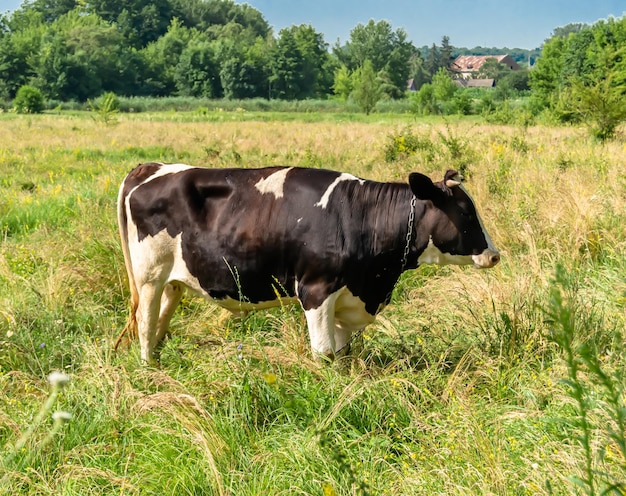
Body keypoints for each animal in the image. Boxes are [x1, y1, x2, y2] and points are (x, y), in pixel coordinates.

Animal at [116, 163, 498, 360]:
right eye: (466, 213)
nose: (493, 254)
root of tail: (151, 167)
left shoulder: (348, 299)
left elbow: (343, 354)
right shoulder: (316, 290)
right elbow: (324, 352)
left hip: (173, 282)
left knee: (160, 325)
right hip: (149, 278)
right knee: (146, 327)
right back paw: (149, 371)